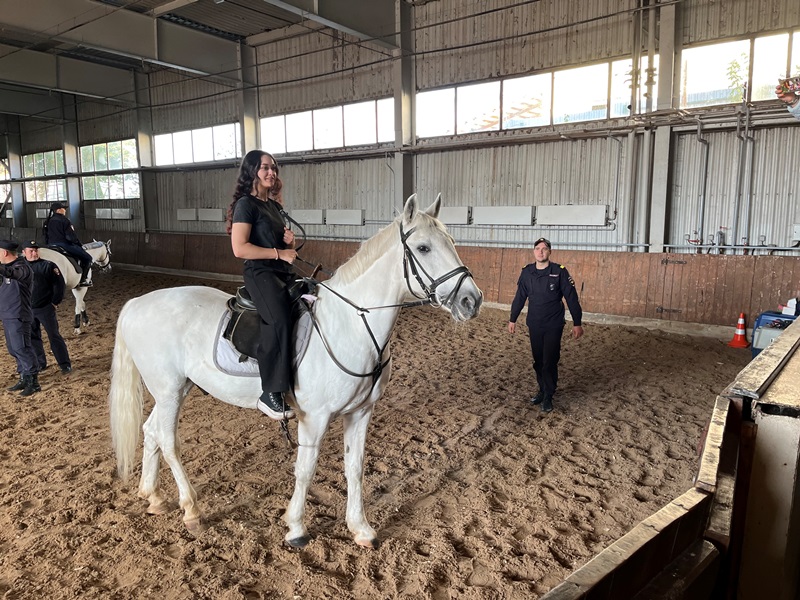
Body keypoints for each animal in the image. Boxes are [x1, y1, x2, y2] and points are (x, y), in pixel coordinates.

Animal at [106, 196, 482, 548]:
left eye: (451, 241)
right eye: (423, 248)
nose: (472, 300)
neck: (350, 324)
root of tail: (137, 304)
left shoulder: (361, 412)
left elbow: (355, 468)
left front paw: (360, 528)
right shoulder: (314, 417)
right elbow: (306, 469)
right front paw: (296, 528)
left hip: (175, 389)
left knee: (151, 431)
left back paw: (153, 496)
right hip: (168, 390)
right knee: (168, 440)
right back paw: (191, 510)